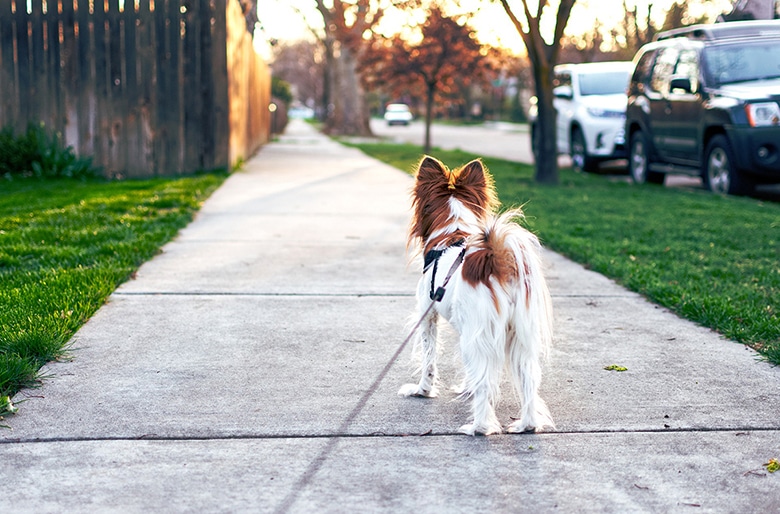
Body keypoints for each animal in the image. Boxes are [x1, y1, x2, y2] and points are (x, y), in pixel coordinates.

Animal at [400, 155, 556, 432]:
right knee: (528, 379)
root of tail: (497, 260)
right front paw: (466, 388)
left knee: (486, 383)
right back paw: (526, 425)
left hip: (480, 332)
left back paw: (479, 428)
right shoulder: (468, 328)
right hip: (518, 336)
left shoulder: (428, 316)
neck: (453, 231)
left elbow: (429, 359)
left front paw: (423, 391)